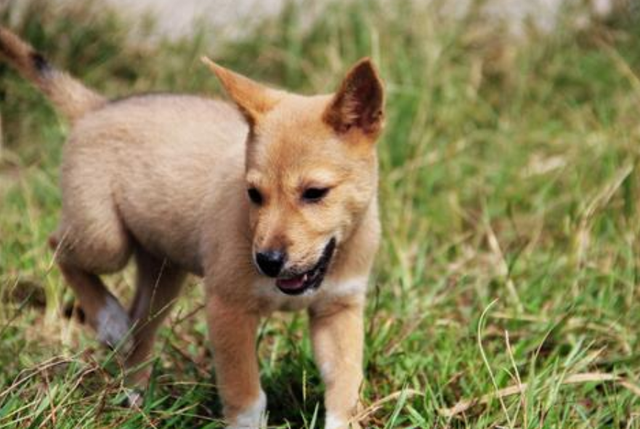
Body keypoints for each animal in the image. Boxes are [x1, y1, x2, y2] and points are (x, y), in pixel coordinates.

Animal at [0, 27, 384, 428]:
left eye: (315, 193)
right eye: (253, 194)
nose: (267, 262)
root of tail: (96, 107)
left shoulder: (338, 310)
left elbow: (344, 390)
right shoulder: (227, 308)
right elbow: (246, 397)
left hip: (162, 274)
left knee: (141, 329)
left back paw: (132, 395)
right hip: (105, 241)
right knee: (58, 246)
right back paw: (108, 320)